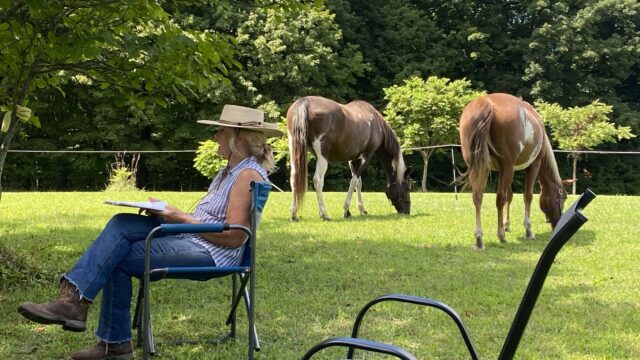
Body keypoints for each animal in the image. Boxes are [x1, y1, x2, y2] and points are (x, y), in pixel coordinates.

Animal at [458, 94, 572, 249]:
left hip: (480, 166)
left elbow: (510, 196)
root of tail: (485, 103)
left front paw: (506, 224)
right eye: (562, 198)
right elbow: (527, 196)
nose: (557, 223)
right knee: (499, 198)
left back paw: (479, 239)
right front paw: (528, 231)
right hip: (507, 166)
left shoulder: (503, 169)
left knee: (478, 196)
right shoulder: (532, 166)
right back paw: (501, 235)